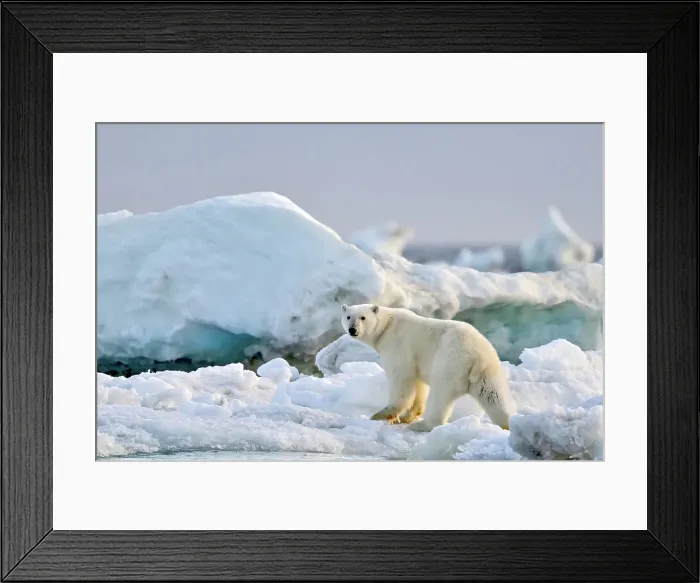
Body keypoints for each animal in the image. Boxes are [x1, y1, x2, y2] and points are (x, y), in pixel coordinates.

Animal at [340, 303, 516, 432]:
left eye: (363, 317)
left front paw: (384, 415)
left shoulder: (398, 345)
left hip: (450, 362)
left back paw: (423, 425)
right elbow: (418, 384)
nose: (352, 329)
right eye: (348, 317)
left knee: (440, 395)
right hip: (488, 372)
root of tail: (477, 356)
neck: (387, 325)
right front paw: (408, 416)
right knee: (494, 397)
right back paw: (508, 424)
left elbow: (401, 378)